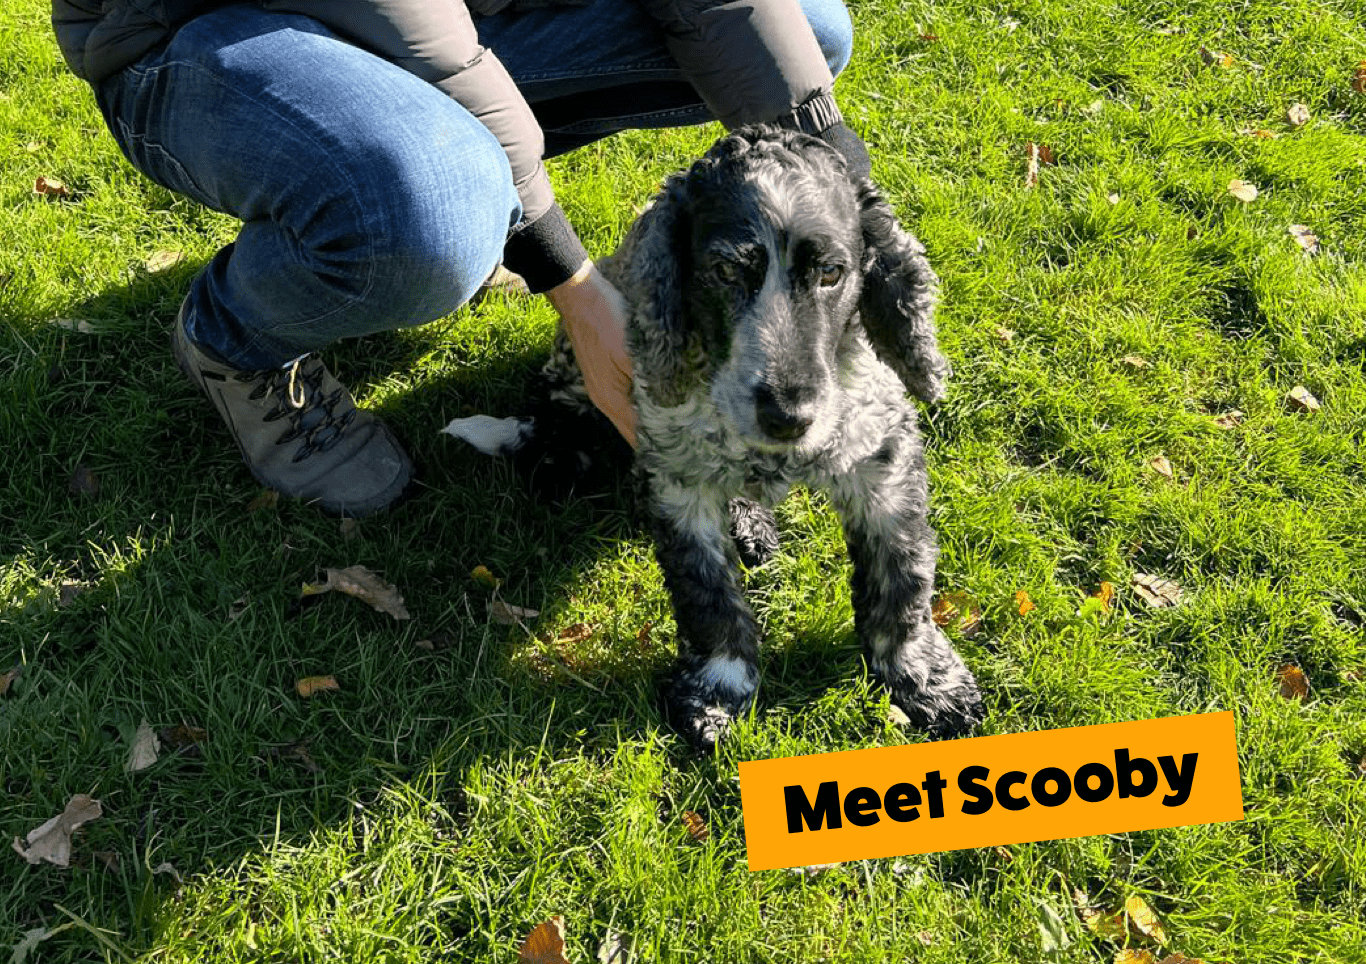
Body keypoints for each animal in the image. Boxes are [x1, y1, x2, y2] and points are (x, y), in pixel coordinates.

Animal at [442, 124, 988, 748]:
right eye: (726, 273)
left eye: (831, 273)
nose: (787, 416)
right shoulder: (679, 481)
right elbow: (707, 595)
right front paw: (718, 690)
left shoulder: (883, 462)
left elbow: (902, 577)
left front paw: (925, 680)